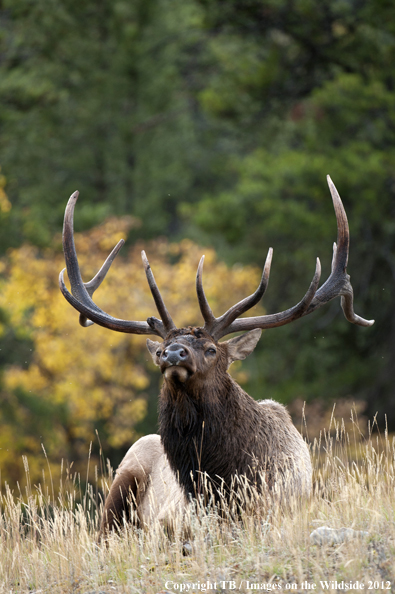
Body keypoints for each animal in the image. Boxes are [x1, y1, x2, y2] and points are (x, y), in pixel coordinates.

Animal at [58, 175, 374, 532]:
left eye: (210, 349)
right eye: (160, 350)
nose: (173, 354)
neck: (223, 481)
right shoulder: (170, 522)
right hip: (124, 474)